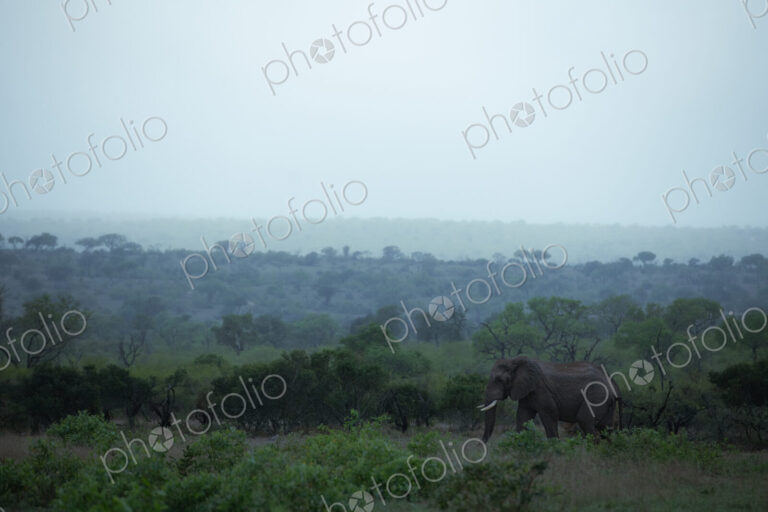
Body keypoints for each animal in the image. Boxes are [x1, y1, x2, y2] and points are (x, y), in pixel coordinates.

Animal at [479, 356, 622, 442]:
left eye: (499, 380)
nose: (482, 444)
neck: (515, 361)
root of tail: (611, 381)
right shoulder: (526, 392)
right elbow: (522, 417)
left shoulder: (541, 390)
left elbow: (550, 414)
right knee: (606, 428)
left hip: (597, 396)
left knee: (585, 421)